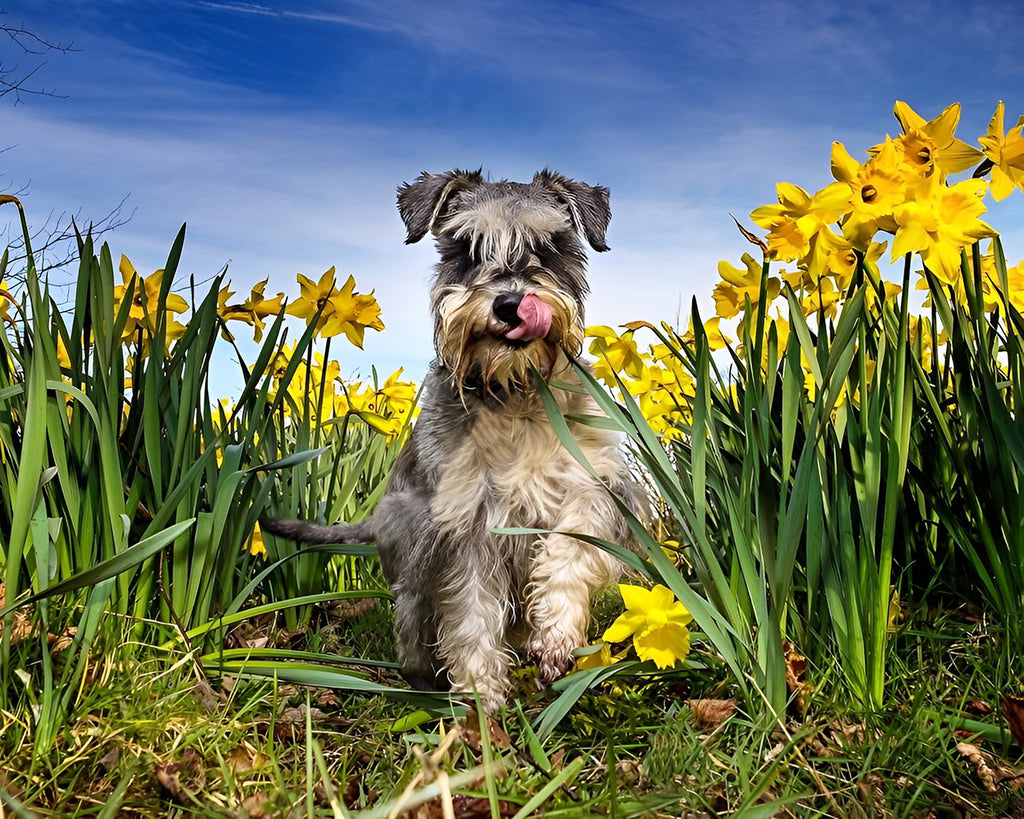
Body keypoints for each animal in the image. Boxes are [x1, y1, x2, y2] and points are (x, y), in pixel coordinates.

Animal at [264, 167, 643, 708]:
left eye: (549, 247)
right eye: (466, 249)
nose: (510, 304)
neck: (516, 395)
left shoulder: (593, 487)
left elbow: (568, 552)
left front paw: (555, 636)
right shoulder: (464, 528)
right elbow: (471, 618)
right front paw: (479, 702)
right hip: (410, 573)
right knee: (415, 631)